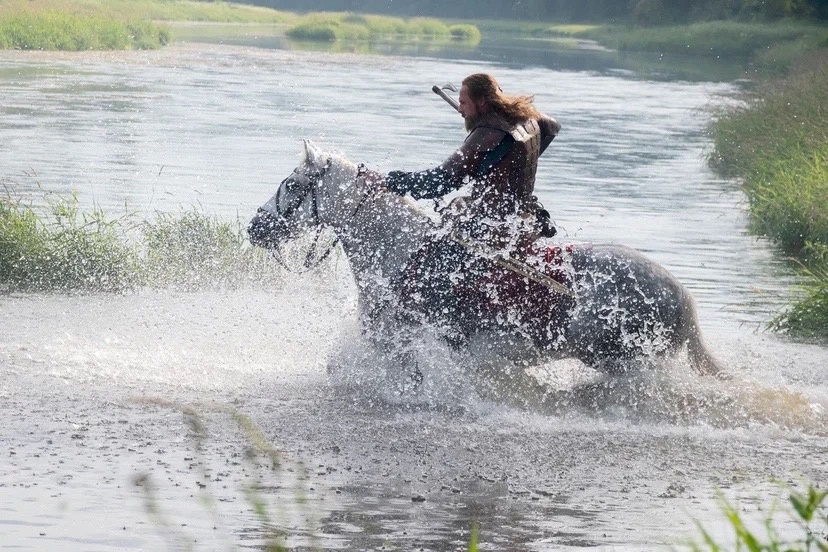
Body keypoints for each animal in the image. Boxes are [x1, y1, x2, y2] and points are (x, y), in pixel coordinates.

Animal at [249, 140, 720, 378]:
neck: (400, 249)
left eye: (292, 184)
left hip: (628, 364)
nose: (255, 226)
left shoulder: (402, 340)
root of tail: (682, 296)